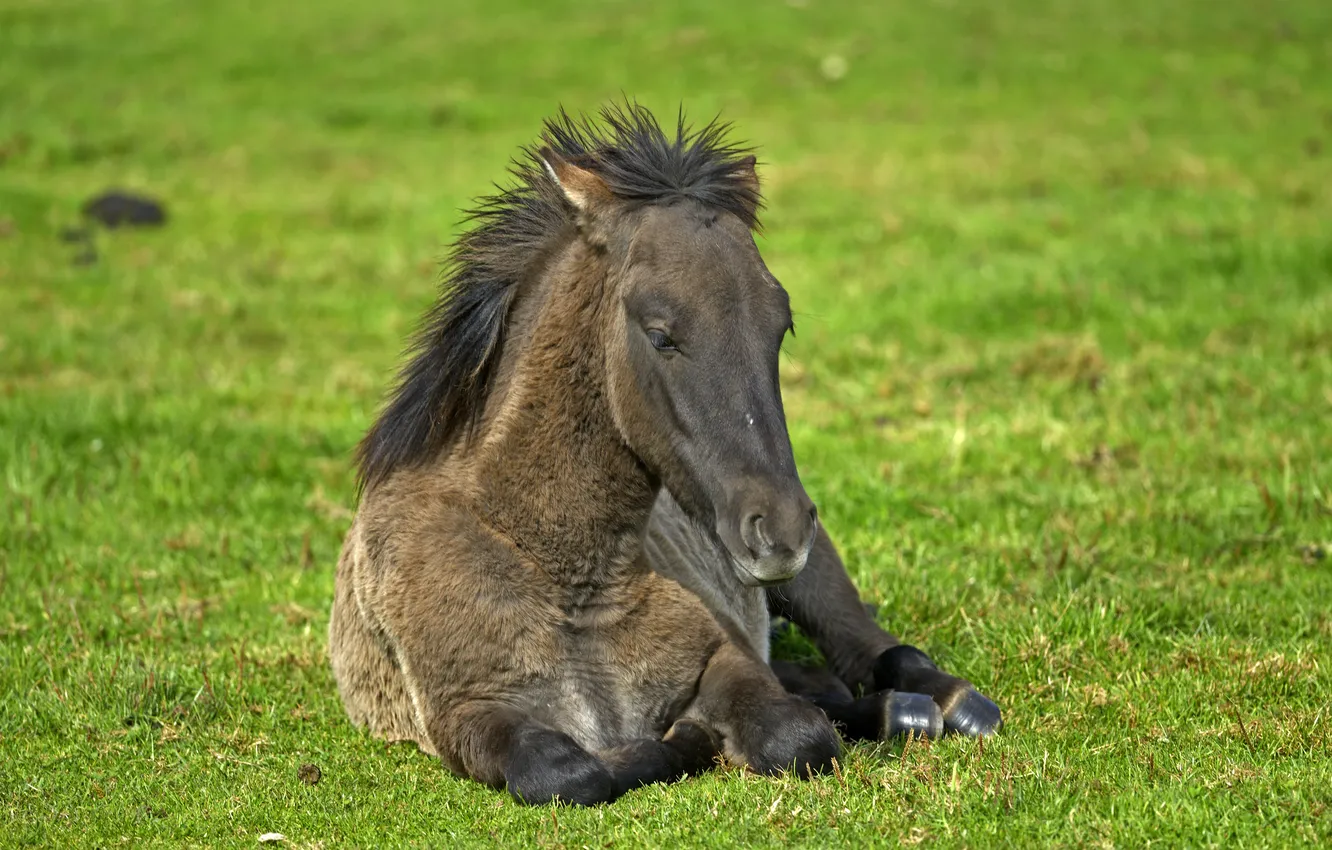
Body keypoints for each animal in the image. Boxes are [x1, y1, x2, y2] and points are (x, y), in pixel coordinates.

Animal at [330, 104, 849, 806]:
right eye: (661, 334)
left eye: (781, 326)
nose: (781, 531)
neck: (565, 577)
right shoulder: (467, 709)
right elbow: (567, 773)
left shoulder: (724, 655)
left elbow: (798, 736)